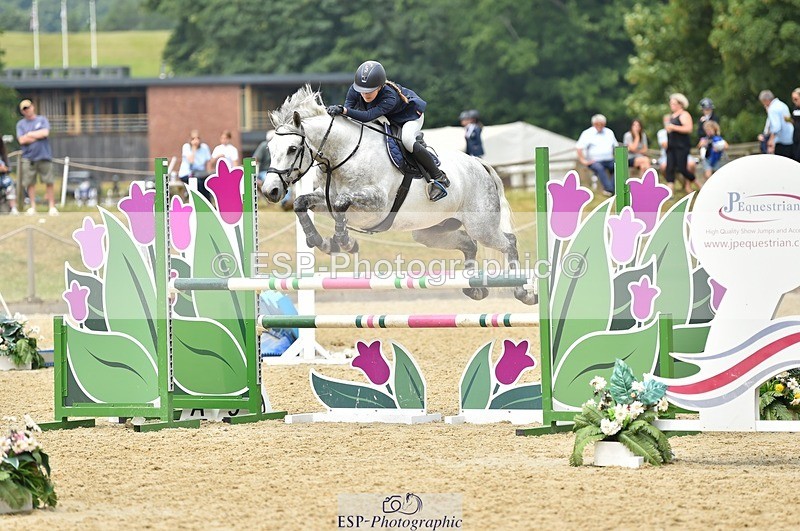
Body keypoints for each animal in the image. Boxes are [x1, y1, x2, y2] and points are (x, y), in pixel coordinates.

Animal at [262, 85, 535, 304]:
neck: (343, 156)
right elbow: (301, 203)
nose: (270, 191)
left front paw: (344, 242)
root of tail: (480, 165)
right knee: (468, 243)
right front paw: (322, 242)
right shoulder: (323, 199)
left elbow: (341, 204)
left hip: (481, 226)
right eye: (270, 149)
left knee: (508, 242)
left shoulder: (377, 203)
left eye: (292, 148)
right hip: (429, 231)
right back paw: (475, 290)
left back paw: (523, 292)